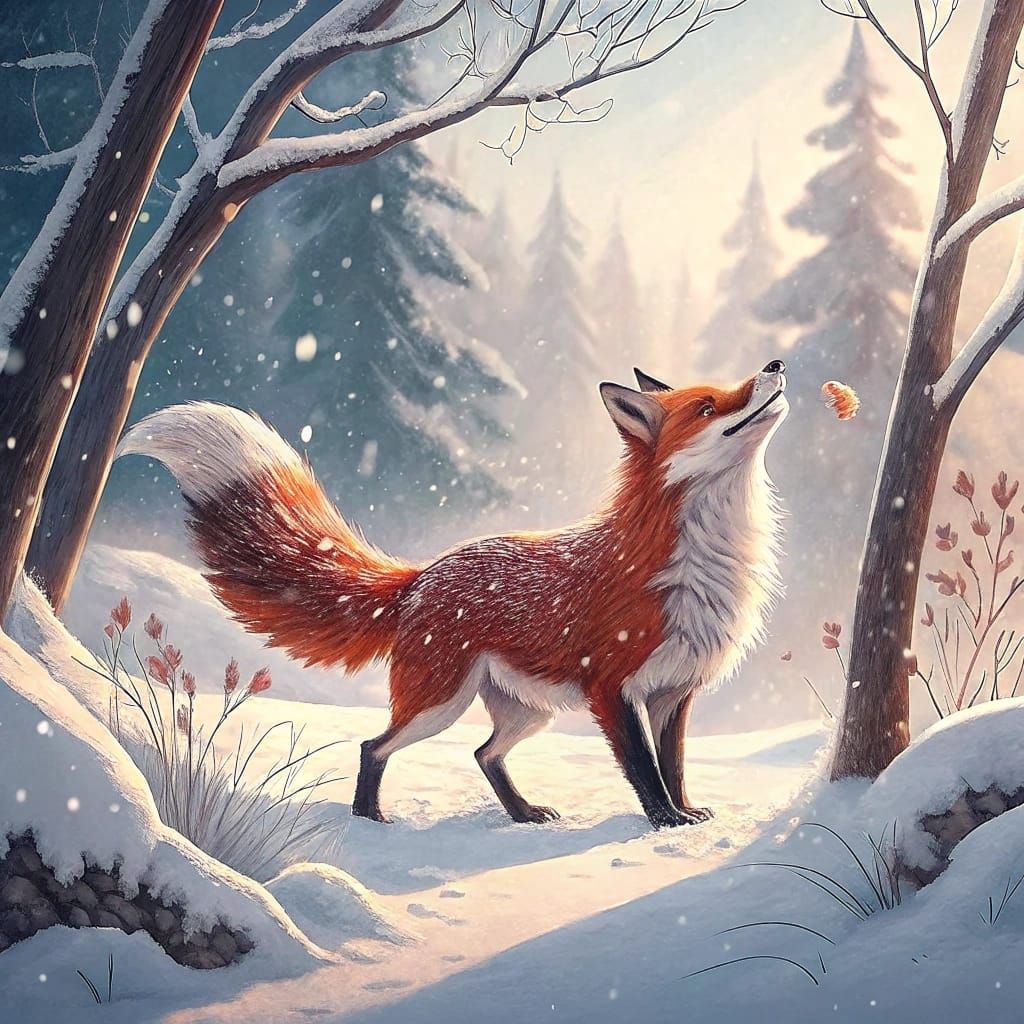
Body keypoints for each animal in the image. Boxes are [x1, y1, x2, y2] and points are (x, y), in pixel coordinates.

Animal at [116, 359, 788, 829]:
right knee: (375, 745)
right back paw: (369, 817)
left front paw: (686, 811)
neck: (697, 564)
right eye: (708, 405)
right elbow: (645, 771)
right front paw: (663, 823)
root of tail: (421, 575)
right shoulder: (611, 687)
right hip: (439, 703)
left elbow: (674, 766)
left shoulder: (674, 691)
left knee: (484, 755)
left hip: (527, 712)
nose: (776, 365)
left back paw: (522, 814)